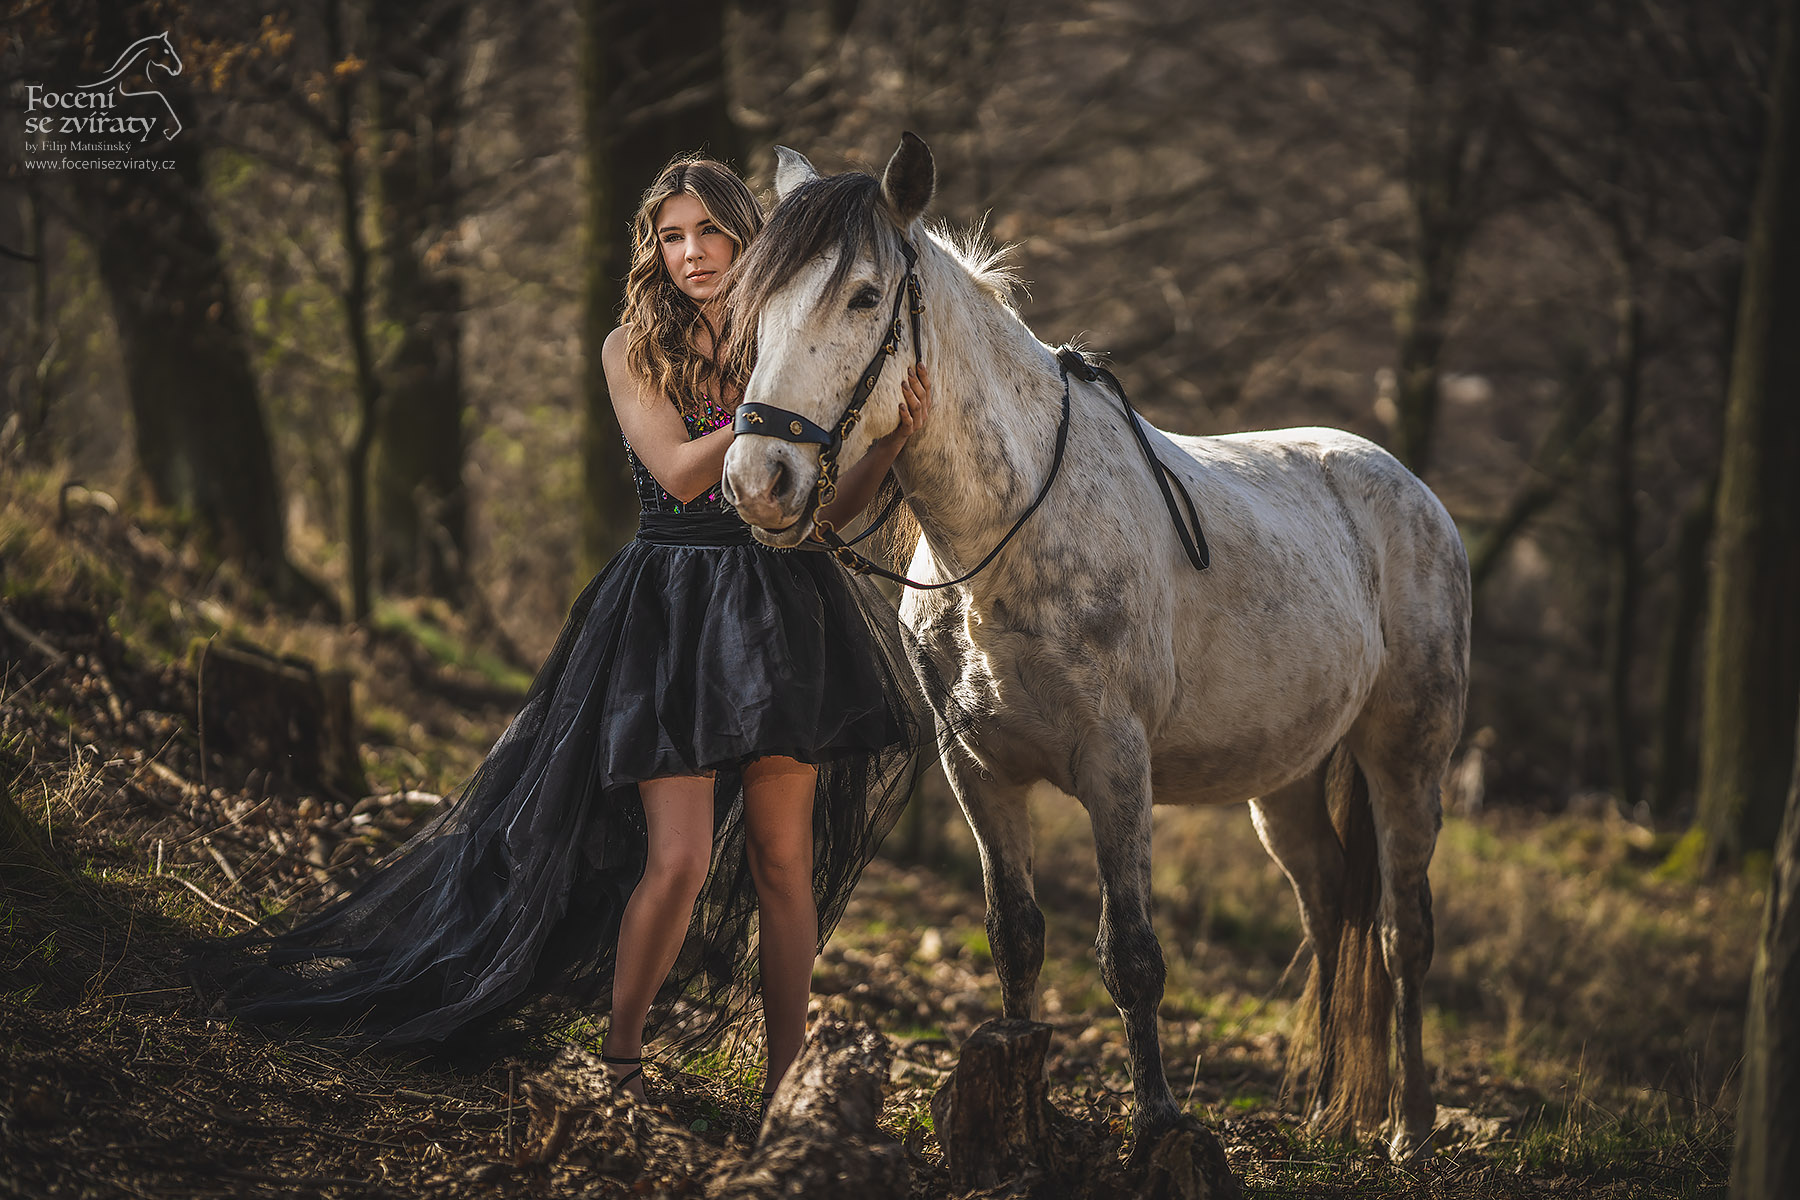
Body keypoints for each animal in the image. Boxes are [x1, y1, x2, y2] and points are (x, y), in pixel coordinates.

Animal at [716, 131, 1461, 1151]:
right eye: (757, 301)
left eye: (865, 296)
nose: (760, 480)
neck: (1009, 533)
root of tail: (1413, 492)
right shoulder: (978, 767)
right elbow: (1015, 936)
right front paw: (1017, 1116)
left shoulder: (1115, 761)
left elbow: (1132, 955)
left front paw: (1157, 1124)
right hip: (1288, 783)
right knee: (1328, 914)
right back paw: (1321, 1115)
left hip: (1406, 759)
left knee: (1400, 933)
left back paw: (1409, 1128)